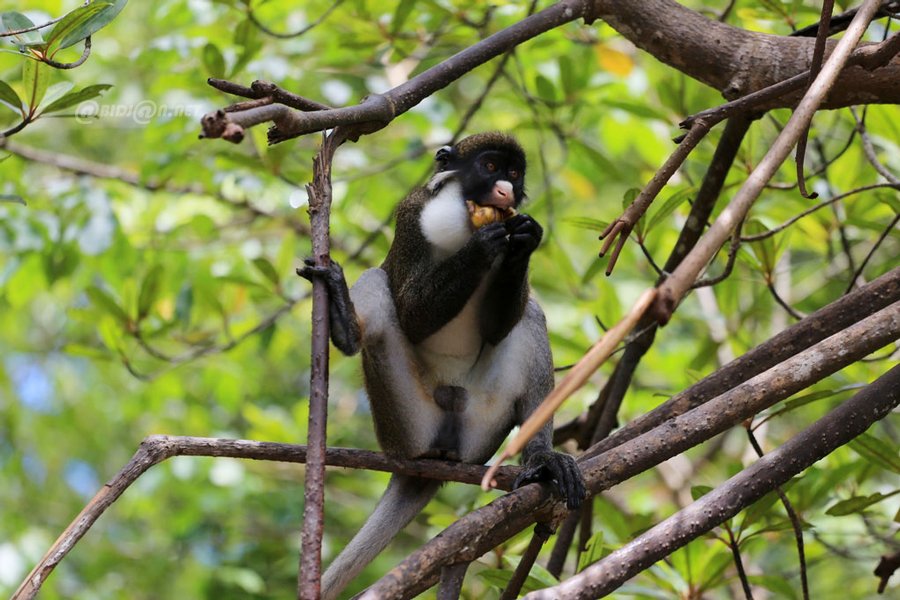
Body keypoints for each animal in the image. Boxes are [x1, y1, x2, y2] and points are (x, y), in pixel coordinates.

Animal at [298, 132, 588, 600]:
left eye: (514, 174)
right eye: (490, 168)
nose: (505, 191)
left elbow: (500, 324)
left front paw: (525, 238)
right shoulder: (411, 216)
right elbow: (411, 311)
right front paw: (485, 244)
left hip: (480, 430)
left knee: (530, 315)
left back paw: (542, 459)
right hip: (405, 426)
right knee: (378, 283)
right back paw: (344, 321)